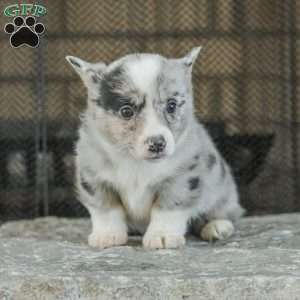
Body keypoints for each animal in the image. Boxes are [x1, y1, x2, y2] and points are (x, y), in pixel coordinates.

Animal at [66, 47, 244, 248]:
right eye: (126, 111)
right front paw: (107, 236)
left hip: (222, 191)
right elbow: (107, 209)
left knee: (223, 213)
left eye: (171, 105)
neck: (137, 162)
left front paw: (162, 236)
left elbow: (167, 209)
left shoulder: (182, 179)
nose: (158, 143)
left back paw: (217, 227)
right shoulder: (94, 178)